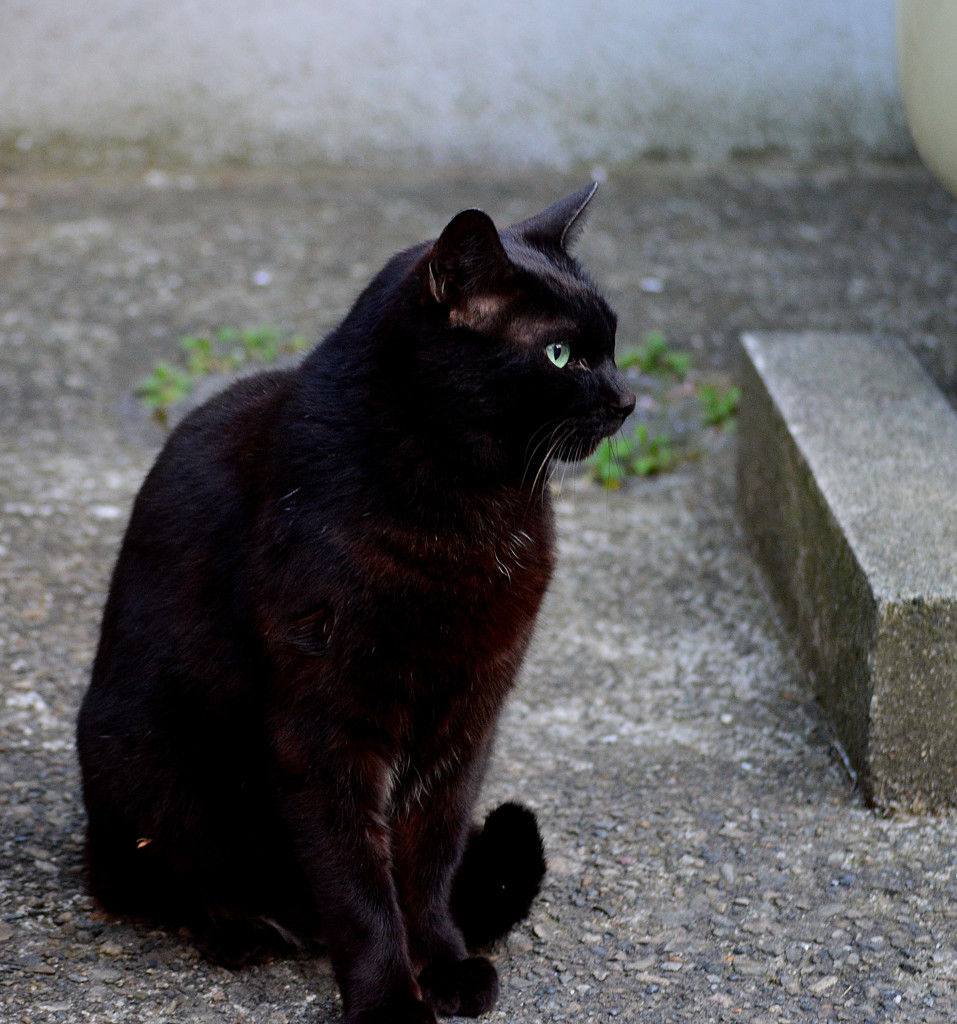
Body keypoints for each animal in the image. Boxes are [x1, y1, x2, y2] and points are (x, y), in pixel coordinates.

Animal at [76, 186, 634, 1024]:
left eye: (612, 343)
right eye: (562, 356)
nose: (628, 399)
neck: (475, 509)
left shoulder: (467, 719)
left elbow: (427, 863)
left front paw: (442, 963)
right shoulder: (327, 726)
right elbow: (361, 888)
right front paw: (389, 1001)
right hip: (142, 764)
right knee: (162, 881)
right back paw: (240, 928)